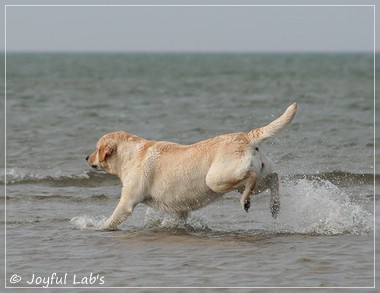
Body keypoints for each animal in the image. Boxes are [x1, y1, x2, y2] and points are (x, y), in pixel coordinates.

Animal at [86, 102, 296, 230]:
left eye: (96, 148)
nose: (86, 157)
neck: (130, 155)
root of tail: (245, 136)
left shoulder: (127, 202)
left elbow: (112, 219)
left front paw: (97, 228)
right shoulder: (180, 209)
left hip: (216, 179)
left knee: (251, 178)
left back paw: (246, 202)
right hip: (255, 175)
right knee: (273, 177)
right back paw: (274, 207)